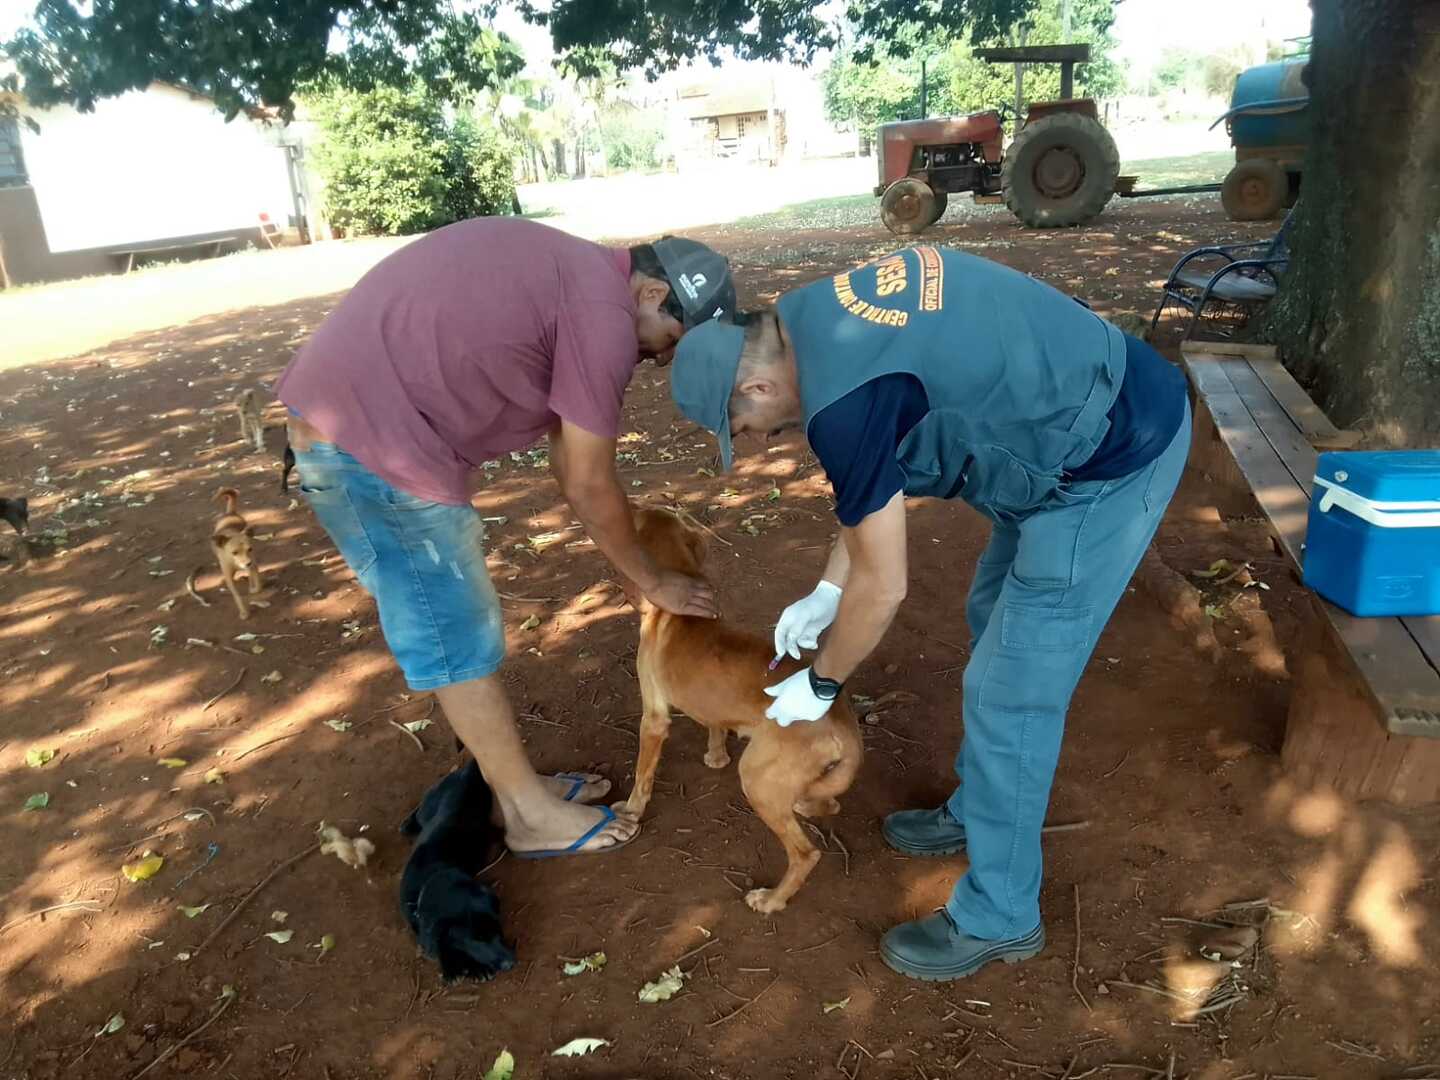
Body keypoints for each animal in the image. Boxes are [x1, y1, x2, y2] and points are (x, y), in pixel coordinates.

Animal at [400, 760, 518, 979]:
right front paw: (457, 966)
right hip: (429, 806)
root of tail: (466, 772)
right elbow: (438, 943)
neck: (431, 873)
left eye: (498, 927)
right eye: (476, 940)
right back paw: (407, 824)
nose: (510, 963)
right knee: (419, 812)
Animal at [619, 512, 864, 915]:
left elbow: (642, 773)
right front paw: (715, 756)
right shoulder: (713, 709)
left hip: (755, 778)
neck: (678, 613)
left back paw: (772, 899)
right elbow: (715, 726)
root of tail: (842, 725)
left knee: (805, 854)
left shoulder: (653, 717)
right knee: (829, 802)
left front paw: (630, 811)